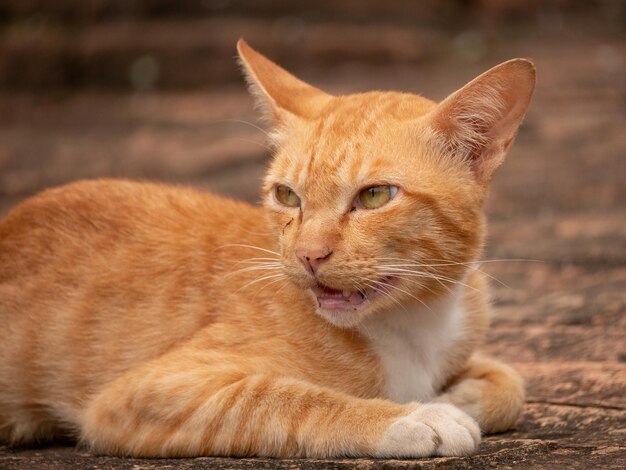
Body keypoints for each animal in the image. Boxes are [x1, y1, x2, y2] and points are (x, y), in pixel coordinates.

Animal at [0, 40, 532, 458]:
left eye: (375, 196)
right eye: (287, 196)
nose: (309, 255)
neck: (415, 323)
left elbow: (514, 383)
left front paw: (458, 396)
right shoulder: (144, 393)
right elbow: (287, 399)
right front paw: (413, 417)